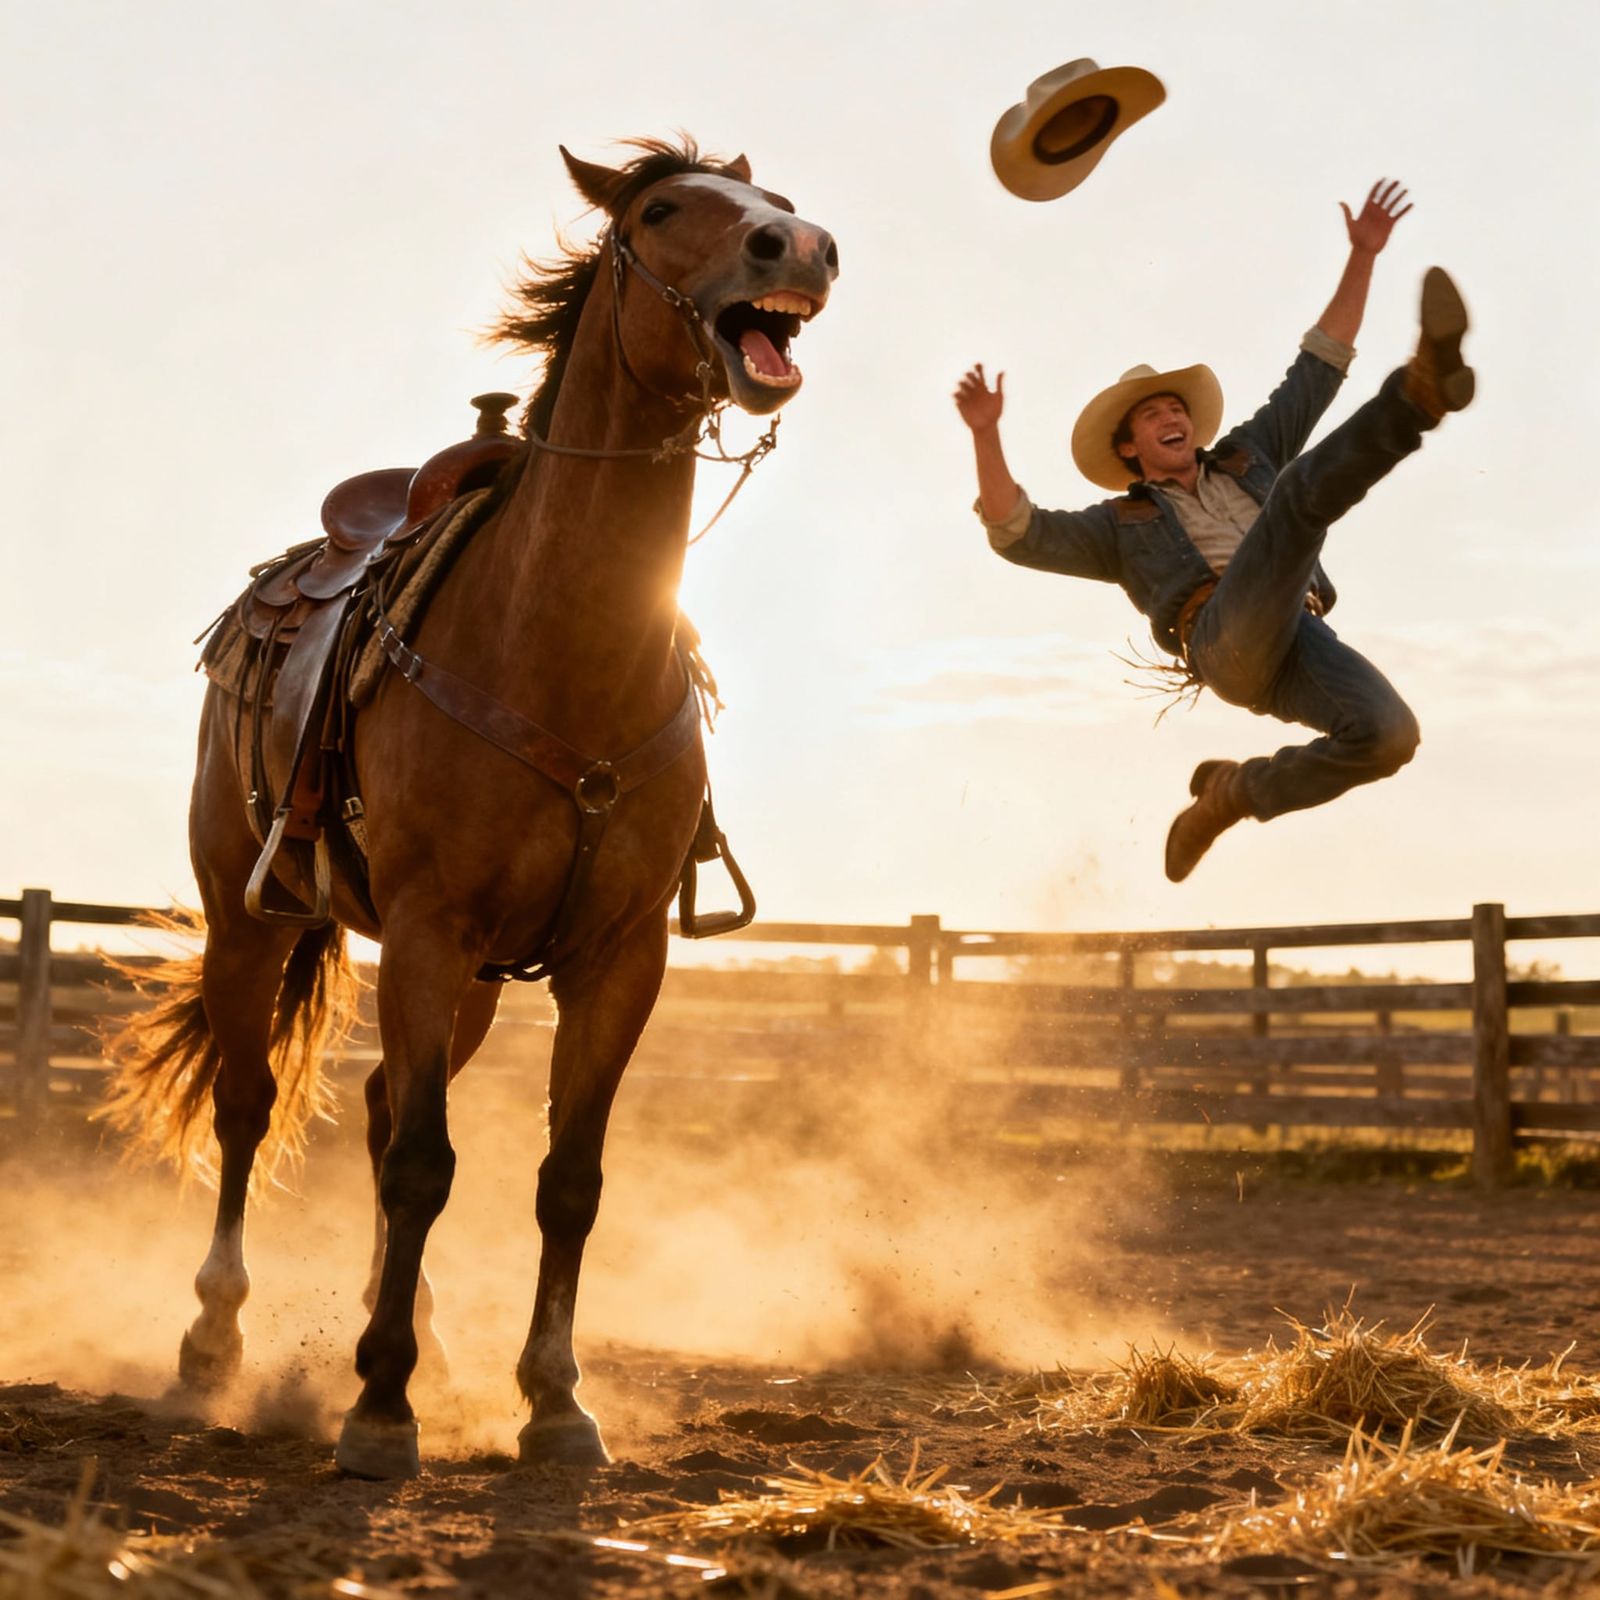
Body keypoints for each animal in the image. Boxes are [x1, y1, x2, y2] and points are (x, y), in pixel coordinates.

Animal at [100, 137, 838, 1479]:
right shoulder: (428, 930)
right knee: (250, 1110)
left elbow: (565, 1177)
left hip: (479, 981)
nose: (802, 249)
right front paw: (377, 1411)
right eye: (664, 208)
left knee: (382, 1103)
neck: (562, 646)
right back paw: (214, 1348)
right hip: (253, 921)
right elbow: (420, 1164)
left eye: (780, 204)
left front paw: (549, 1399)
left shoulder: (616, 957)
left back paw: (426, 1346)